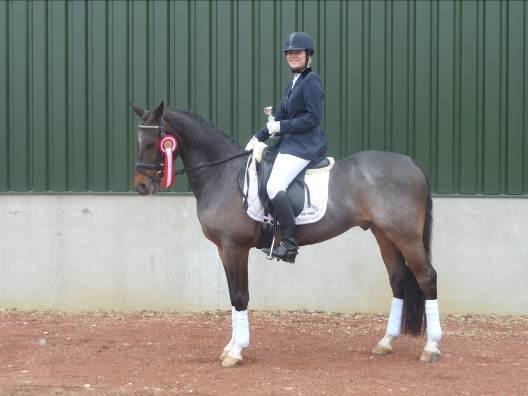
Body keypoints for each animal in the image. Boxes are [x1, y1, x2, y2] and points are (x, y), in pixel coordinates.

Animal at [132, 103, 442, 368]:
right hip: (384, 235)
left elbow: (240, 296)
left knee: (426, 277)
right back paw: (386, 343)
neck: (222, 173)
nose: (142, 186)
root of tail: (411, 163)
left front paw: (236, 352)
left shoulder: (234, 247)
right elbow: (233, 296)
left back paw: (431, 347)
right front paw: (231, 346)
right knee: (398, 280)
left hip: (406, 237)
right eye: (138, 141)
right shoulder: (224, 249)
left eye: (154, 142)